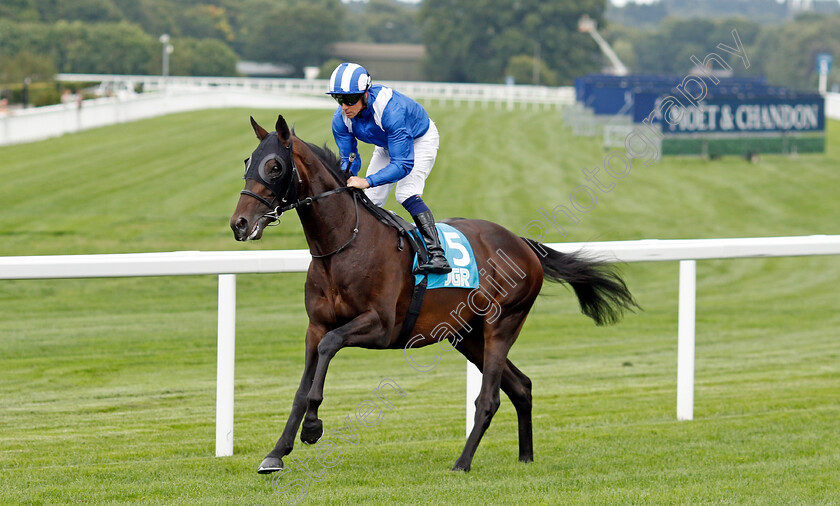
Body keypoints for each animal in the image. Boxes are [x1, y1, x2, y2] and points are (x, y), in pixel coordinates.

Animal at [230, 114, 636, 474]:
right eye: (247, 161)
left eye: (275, 166)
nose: (239, 224)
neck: (345, 245)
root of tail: (523, 244)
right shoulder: (314, 326)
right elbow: (302, 386)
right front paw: (276, 453)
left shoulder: (380, 327)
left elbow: (330, 348)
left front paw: (313, 427)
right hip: (466, 335)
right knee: (521, 386)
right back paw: (525, 458)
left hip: (502, 323)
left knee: (489, 398)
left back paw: (463, 462)